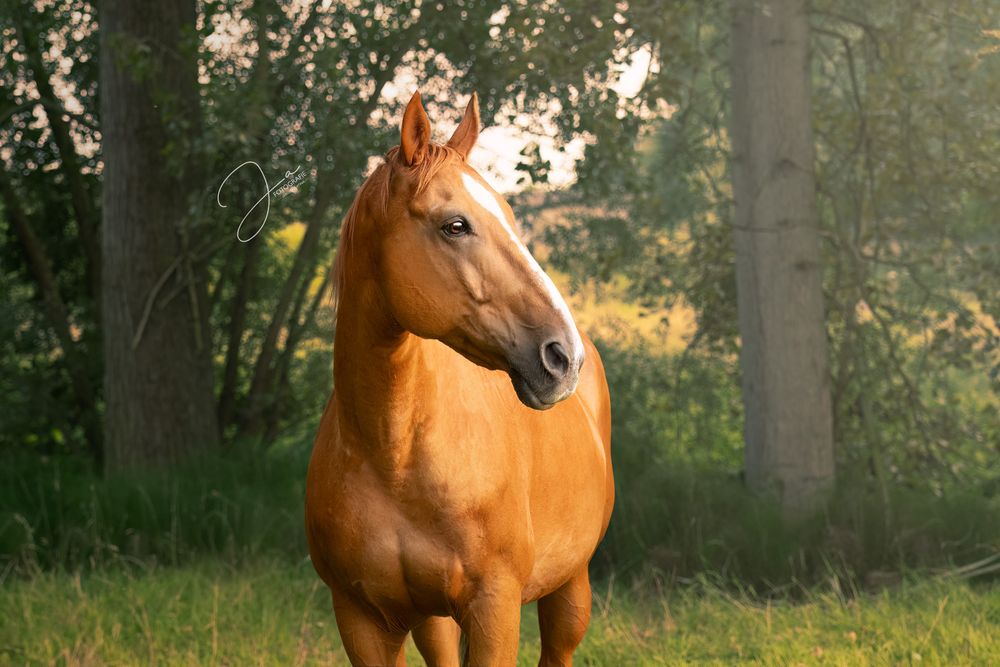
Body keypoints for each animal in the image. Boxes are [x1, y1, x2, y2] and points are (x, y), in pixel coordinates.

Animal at [305, 91, 614, 666]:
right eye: (455, 225)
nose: (563, 356)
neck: (395, 454)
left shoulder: (495, 607)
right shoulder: (360, 618)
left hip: (570, 590)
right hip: (433, 620)